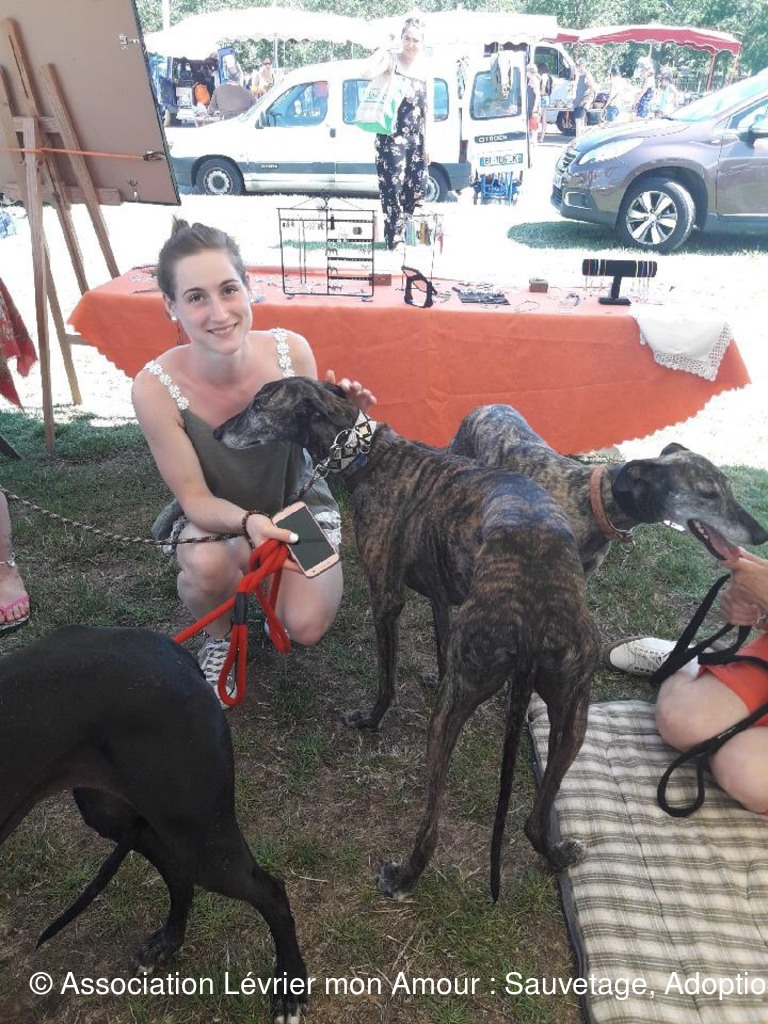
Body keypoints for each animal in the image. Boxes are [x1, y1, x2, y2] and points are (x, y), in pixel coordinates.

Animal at [0, 626, 307, 1024]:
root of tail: (177, 655)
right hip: (116, 813)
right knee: (179, 876)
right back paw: (165, 944)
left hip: (199, 835)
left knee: (271, 892)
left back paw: (289, 986)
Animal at [216, 379, 599, 902]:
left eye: (258, 403)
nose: (217, 432)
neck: (368, 454)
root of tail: (532, 615)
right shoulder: (441, 595)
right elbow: (439, 641)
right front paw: (433, 672)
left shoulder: (387, 599)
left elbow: (386, 678)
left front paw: (371, 718)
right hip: (573, 711)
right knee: (535, 819)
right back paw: (557, 853)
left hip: (450, 717)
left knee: (433, 819)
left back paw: (405, 874)